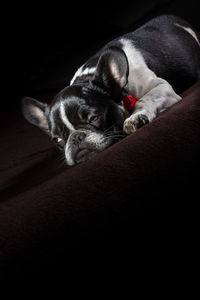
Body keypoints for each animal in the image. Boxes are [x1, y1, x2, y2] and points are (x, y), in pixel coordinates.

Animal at [21, 15, 200, 165]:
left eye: (94, 118)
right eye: (57, 140)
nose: (76, 137)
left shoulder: (161, 87)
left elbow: (145, 99)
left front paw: (136, 117)